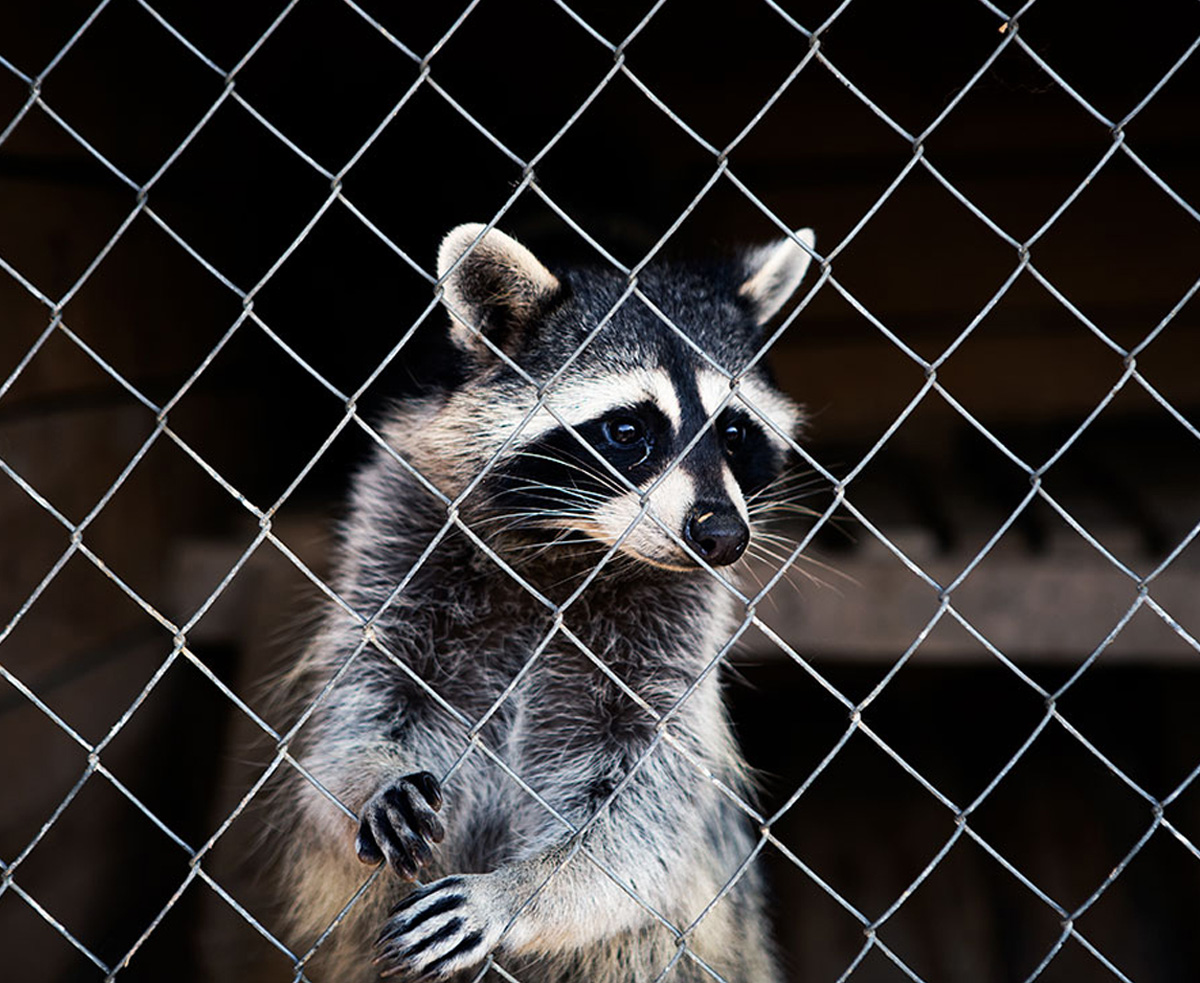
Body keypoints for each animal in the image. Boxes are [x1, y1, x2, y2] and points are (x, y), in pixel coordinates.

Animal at [274, 223, 816, 983]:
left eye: (734, 433)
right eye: (629, 431)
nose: (723, 536)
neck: (573, 548)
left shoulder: (674, 635)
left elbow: (643, 802)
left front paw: (521, 890)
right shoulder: (401, 531)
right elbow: (361, 705)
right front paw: (370, 776)